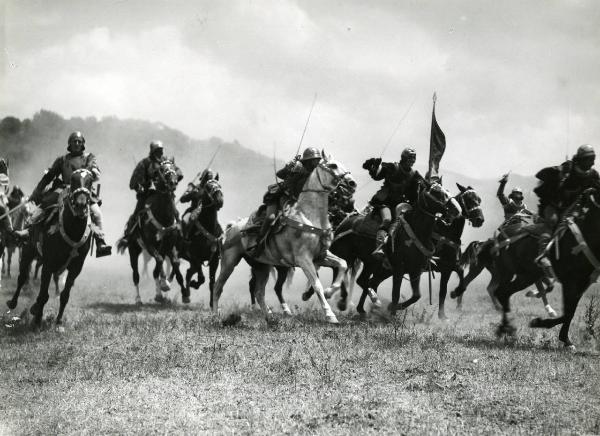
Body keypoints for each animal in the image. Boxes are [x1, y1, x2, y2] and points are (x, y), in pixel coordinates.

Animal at [7, 169, 96, 326]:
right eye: (73, 180)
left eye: (90, 181)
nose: (81, 204)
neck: (72, 232)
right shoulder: (48, 264)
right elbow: (43, 294)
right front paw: (37, 320)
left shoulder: (75, 268)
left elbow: (64, 295)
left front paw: (58, 320)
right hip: (28, 252)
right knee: (22, 278)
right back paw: (13, 302)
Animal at [116, 158, 184, 304]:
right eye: (162, 169)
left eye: (174, 168)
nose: (173, 182)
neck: (163, 215)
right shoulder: (149, 245)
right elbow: (159, 261)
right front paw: (163, 285)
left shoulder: (168, 245)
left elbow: (171, 263)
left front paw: (164, 286)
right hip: (134, 250)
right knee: (136, 275)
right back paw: (138, 299)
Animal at [212, 152, 350, 322]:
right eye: (333, 165)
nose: (351, 183)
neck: (309, 216)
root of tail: (231, 227)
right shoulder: (303, 259)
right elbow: (316, 284)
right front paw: (330, 315)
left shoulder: (321, 256)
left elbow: (342, 264)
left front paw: (329, 292)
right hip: (229, 262)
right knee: (218, 287)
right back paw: (215, 315)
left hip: (262, 266)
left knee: (259, 292)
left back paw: (270, 317)